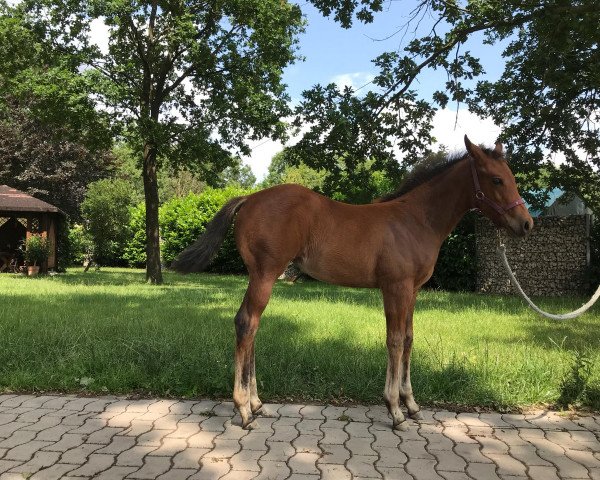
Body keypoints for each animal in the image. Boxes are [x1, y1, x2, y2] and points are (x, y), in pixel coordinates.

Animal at [172, 134, 536, 432]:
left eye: (511, 178)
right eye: (497, 179)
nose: (526, 224)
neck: (416, 220)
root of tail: (249, 198)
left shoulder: (413, 290)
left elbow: (409, 339)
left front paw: (412, 405)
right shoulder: (395, 287)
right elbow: (394, 341)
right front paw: (395, 410)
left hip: (262, 276)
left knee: (251, 327)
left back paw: (257, 403)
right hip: (264, 274)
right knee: (247, 324)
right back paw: (244, 409)